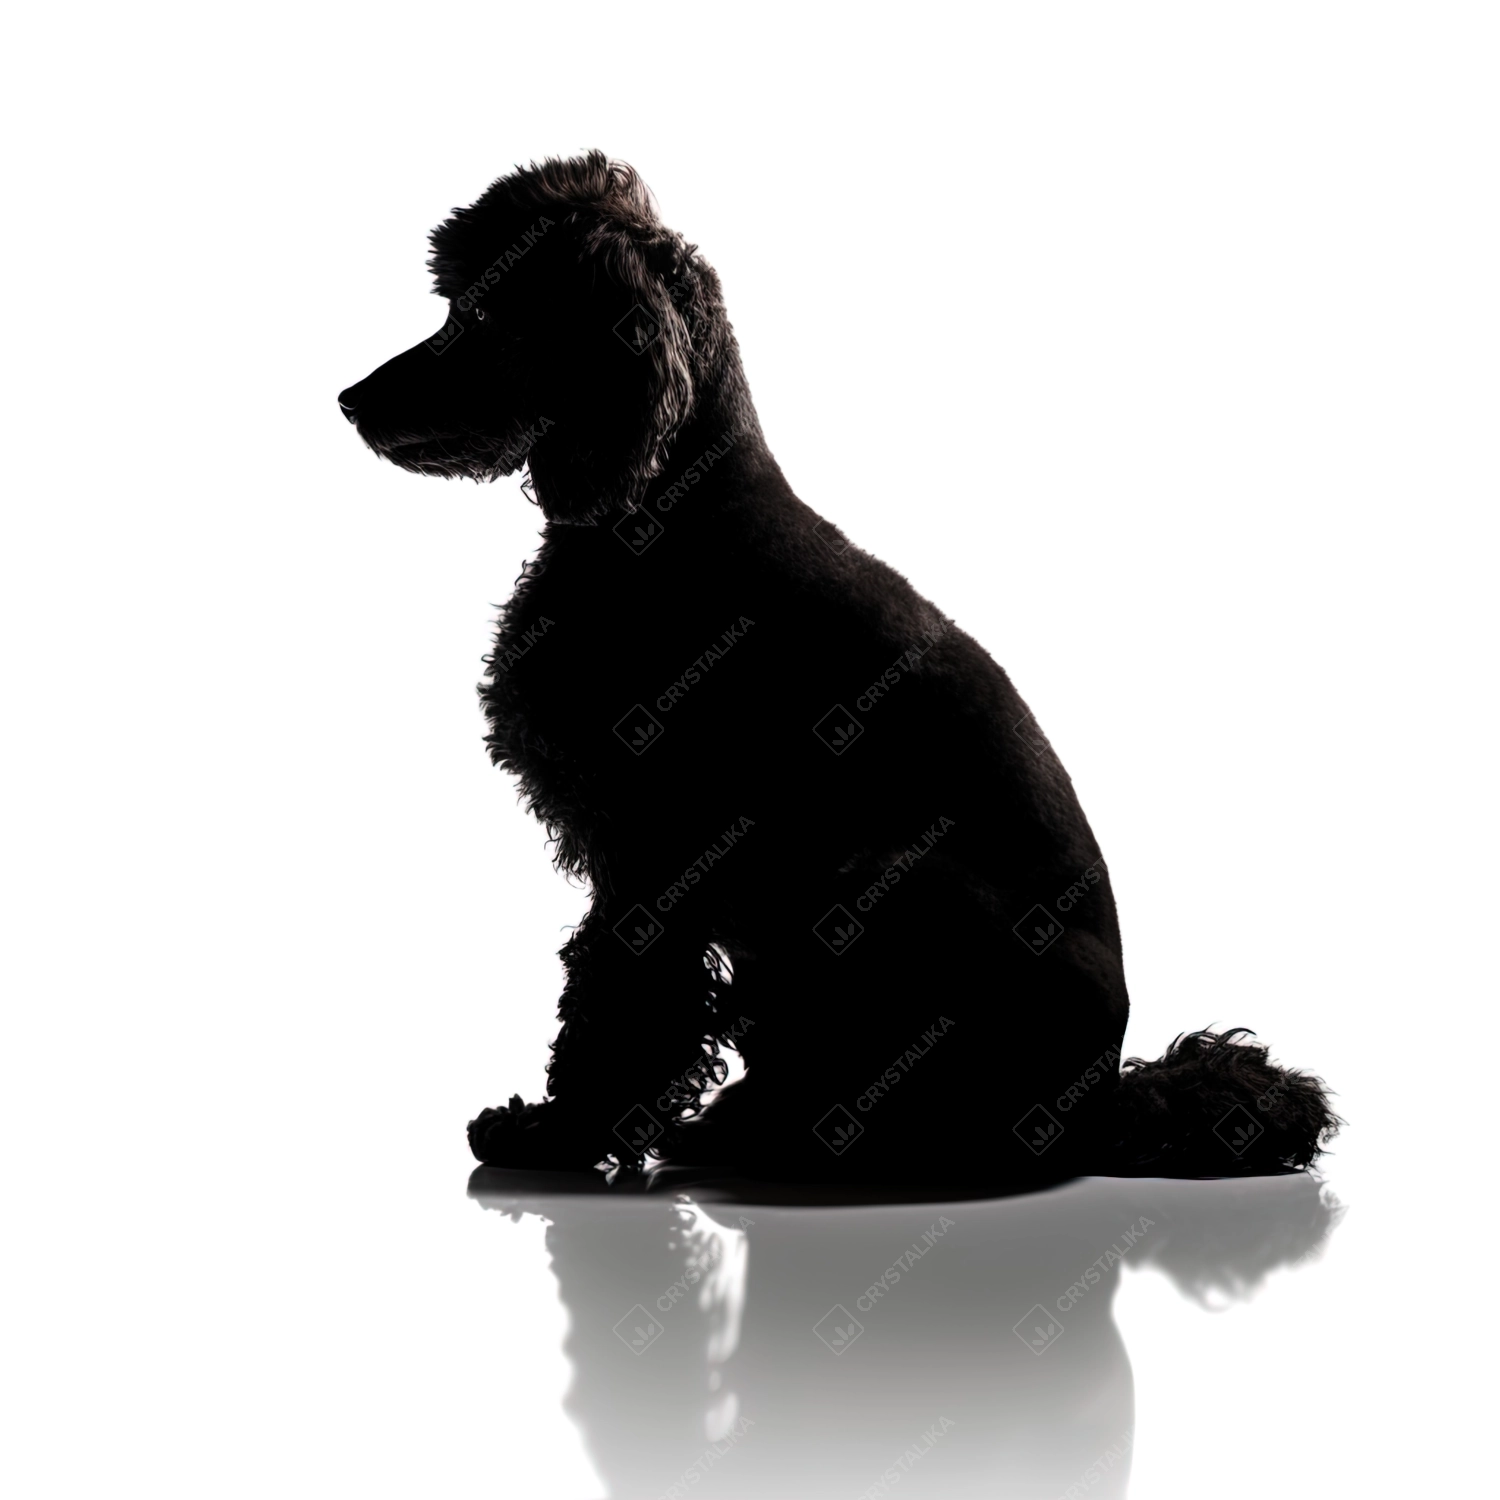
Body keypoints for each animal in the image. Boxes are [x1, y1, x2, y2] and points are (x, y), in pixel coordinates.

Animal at [337, 152, 1338, 1182]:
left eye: (480, 315)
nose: (351, 398)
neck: (661, 513)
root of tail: (1101, 1101)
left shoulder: (653, 844)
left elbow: (622, 999)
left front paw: (562, 1135)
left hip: (878, 880)